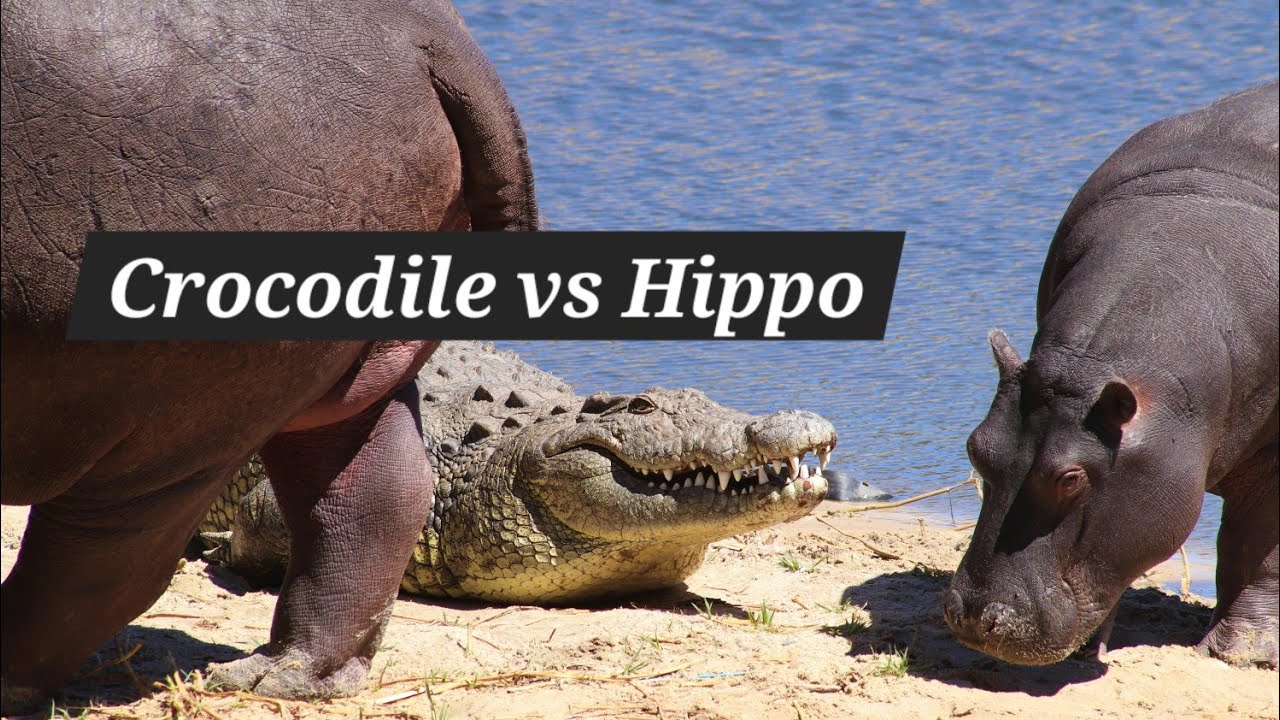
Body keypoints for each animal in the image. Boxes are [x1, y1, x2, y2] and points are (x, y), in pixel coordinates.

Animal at [0, 0, 537, 712]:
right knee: (369, 494)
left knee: (104, 561)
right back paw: (285, 674)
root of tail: (433, 34)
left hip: (172, 414)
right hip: (340, 370)